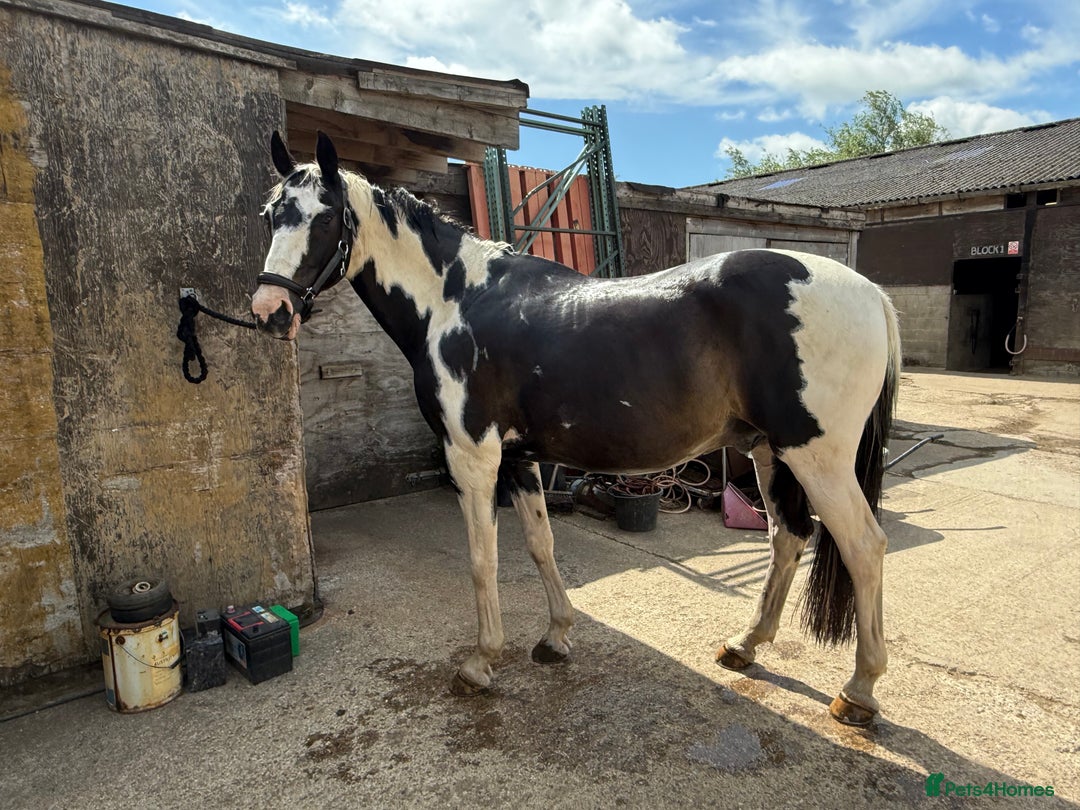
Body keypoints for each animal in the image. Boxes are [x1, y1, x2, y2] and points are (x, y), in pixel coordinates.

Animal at [251, 131, 901, 727]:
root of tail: (870, 292)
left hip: (817, 458)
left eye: (325, 216)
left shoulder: (472, 457)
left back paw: (858, 692)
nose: (268, 312)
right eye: (271, 215)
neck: (455, 301)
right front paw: (556, 636)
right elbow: (541, 545)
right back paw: (745, 646)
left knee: (864, 548)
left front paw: (481, 664)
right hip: (769, 452)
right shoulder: (519, 459)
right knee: (787, 537)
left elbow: (482, 559)